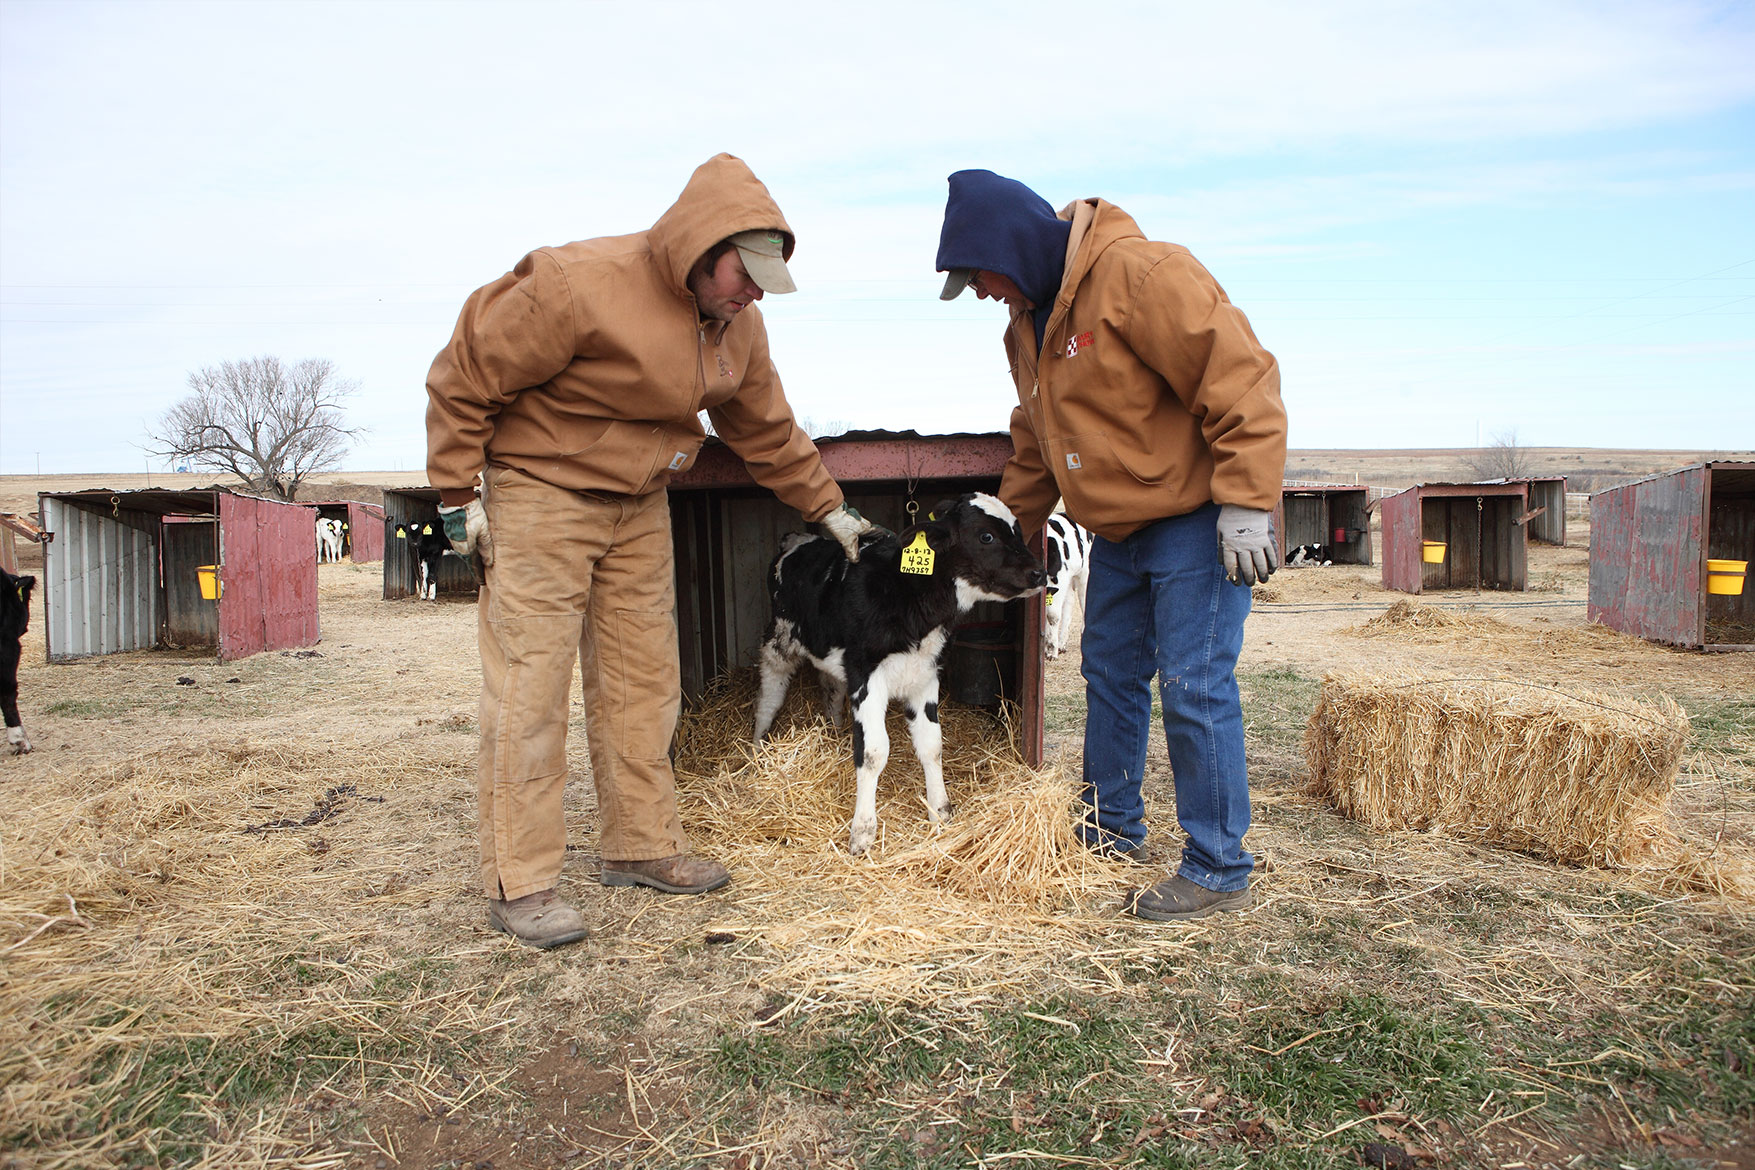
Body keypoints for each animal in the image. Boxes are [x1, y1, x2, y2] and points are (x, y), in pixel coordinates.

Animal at [751, 491, 1038, 856]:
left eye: (1017, 529)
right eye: (986, 536)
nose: (1040, 573)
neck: (911, 601)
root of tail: (797, 538)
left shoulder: (925, 676)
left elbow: (932, 745)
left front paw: (940, 811)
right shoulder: (867, 676)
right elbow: (873, 753)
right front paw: (862, 832)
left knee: (831, 689)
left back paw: (833, 731)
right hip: (780, 638)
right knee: (770, 696)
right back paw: (757, 748)